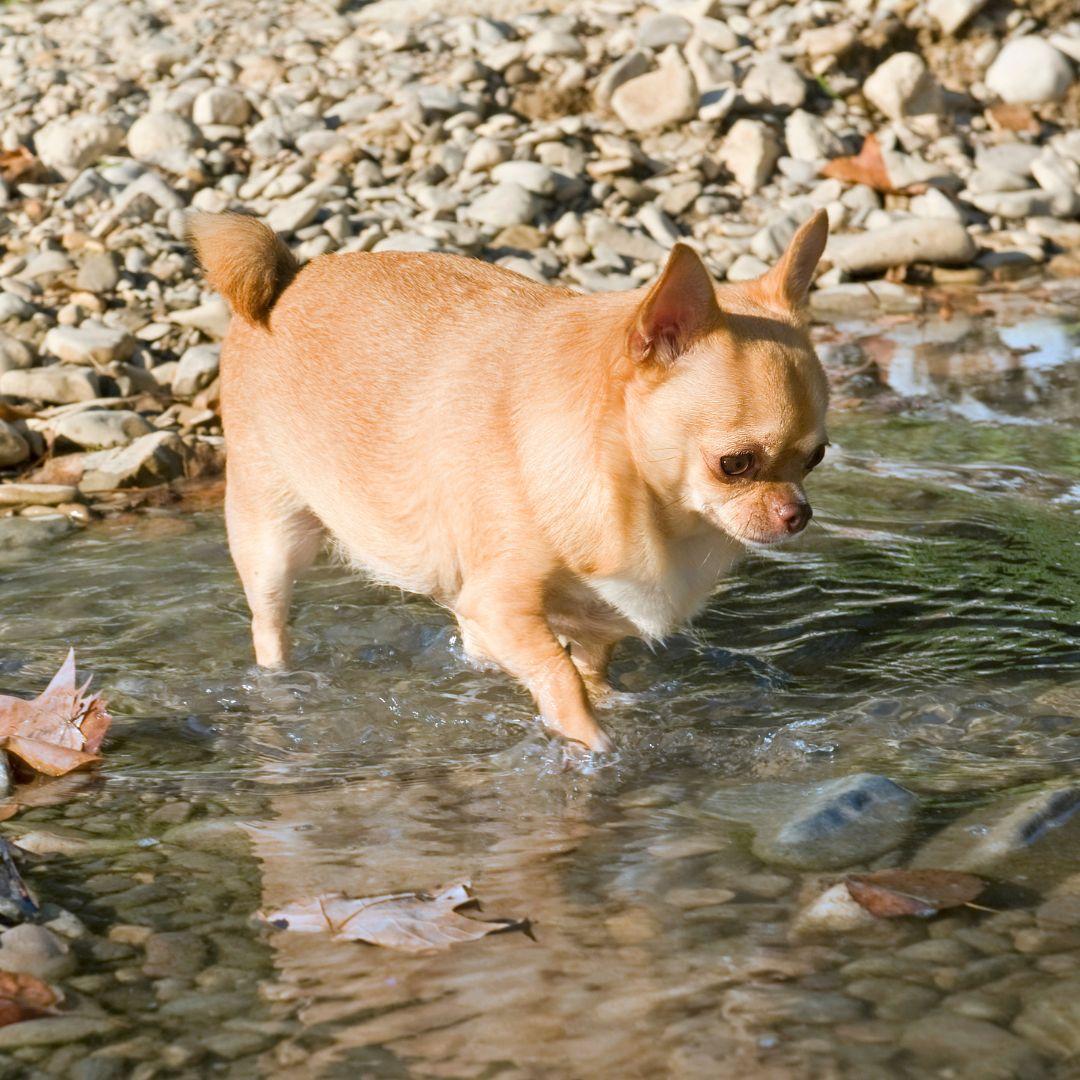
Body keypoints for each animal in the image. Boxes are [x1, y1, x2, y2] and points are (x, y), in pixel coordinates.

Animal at [190, 210, 829, 751]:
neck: (643, 502)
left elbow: (587, 669)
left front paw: (610, 709)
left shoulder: (595, 619)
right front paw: (590, 744)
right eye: (735, 464)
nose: (798, 513)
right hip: (273, 534)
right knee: (269, 622)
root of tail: (290, 276)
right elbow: (560, 674)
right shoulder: (500, 604)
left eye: (817, 458)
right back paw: (280, 682)